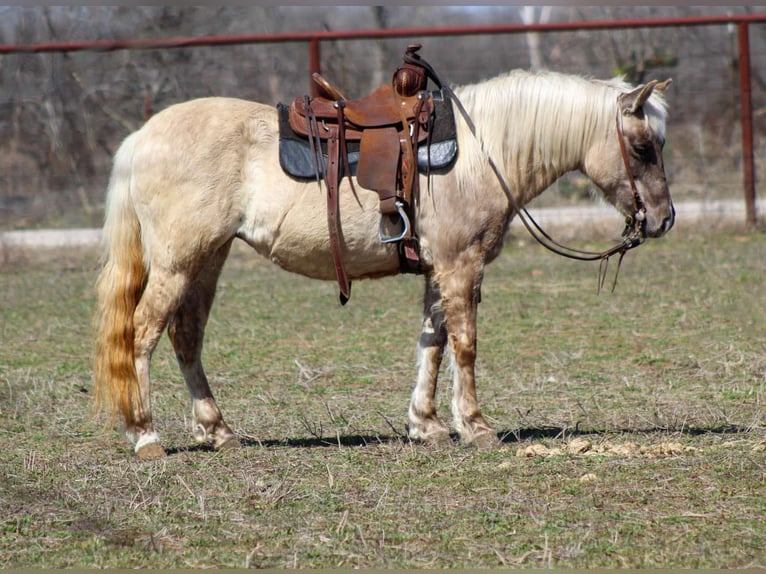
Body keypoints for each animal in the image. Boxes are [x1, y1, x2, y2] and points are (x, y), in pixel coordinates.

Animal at [93, 68, 674, 459]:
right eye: (643, 147)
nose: (663, 219)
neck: (481, 153)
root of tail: (141, 138)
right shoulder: (461, 266)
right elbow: (464, 344)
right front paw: (475, 426)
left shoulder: (439, 270)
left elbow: (433, 344)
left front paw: (427, 424)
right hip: (177, 263)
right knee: (141, 334)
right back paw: (145, 435)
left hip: (206, 261)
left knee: (185, 337)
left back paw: (218, 431)